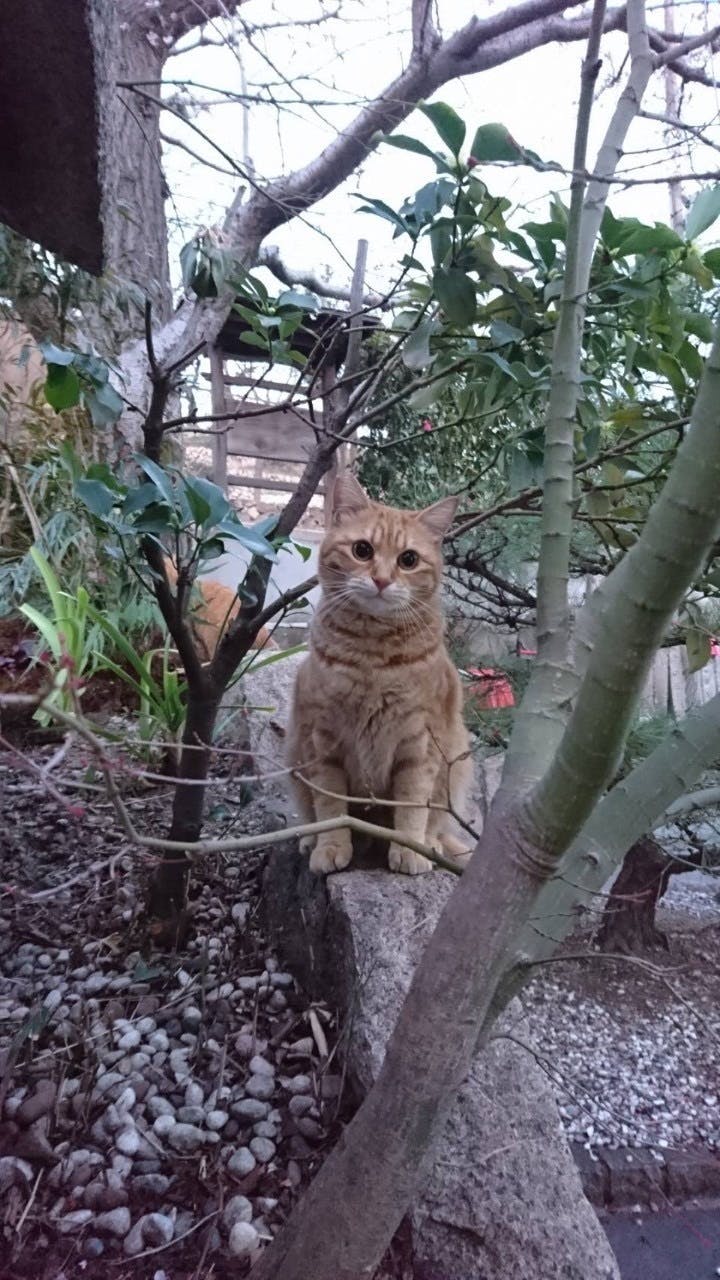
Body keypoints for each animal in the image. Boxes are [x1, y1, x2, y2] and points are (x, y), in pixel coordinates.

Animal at [286, 471, 473, 876]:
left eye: (408, 559)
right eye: (362, 550)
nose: (382, 580)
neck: (372, 658)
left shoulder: (419, 745)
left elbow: (413, 804)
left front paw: (410, 848)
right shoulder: (323, 740)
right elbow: (330, 806)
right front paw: (331, 846)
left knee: (437, 823)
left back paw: (430, 844)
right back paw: (310, 840)